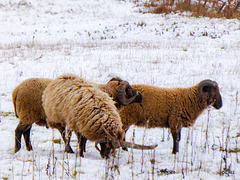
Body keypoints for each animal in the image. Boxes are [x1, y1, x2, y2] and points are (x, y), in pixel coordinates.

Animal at [11, 75, 141, 153]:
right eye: (129, 90)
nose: (140, 96)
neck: (108, 93)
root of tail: (16, 90)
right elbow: (82, 138)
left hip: (28, 116)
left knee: (26, 132)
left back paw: (29, 149)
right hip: (28, 115)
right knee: (18, 131)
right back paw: (17, 150)